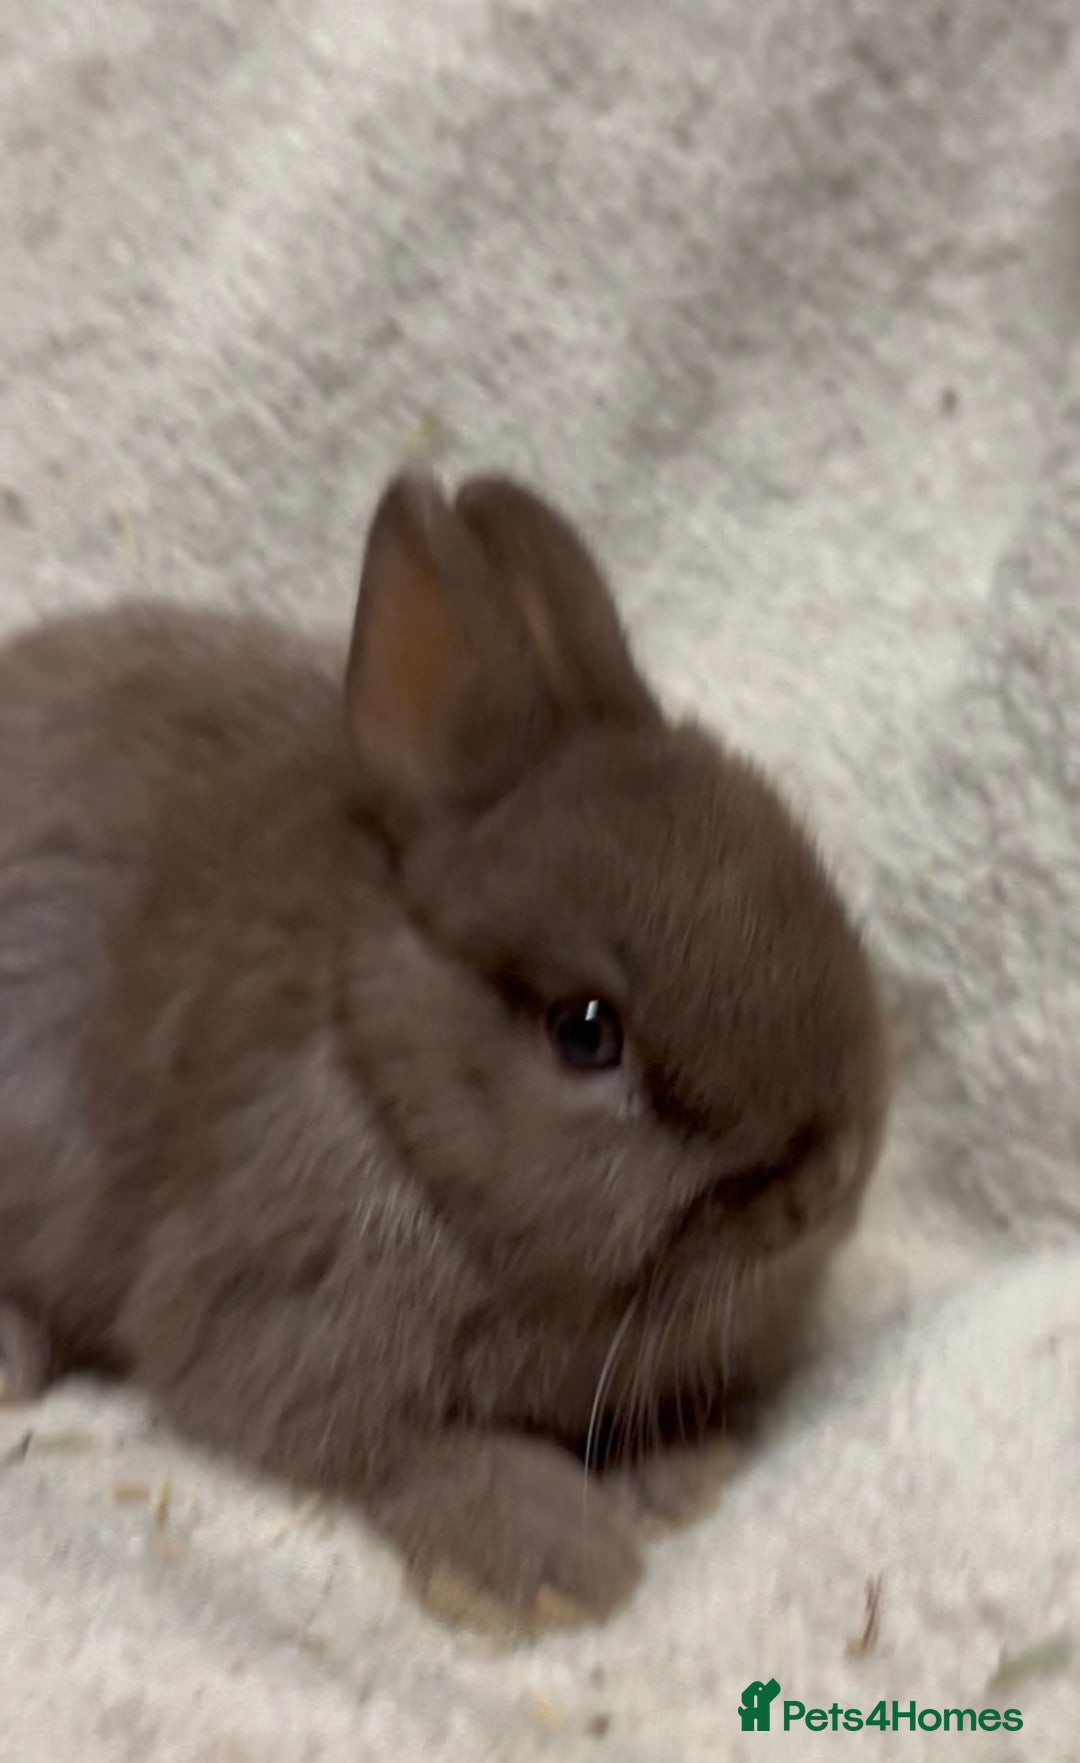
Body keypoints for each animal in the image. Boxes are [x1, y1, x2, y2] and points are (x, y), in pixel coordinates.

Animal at [0, 471, 891, 1628]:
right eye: (585, 1031)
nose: (821, 1182)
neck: (387, 1085)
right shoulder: (271, 1323)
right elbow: (402, 1448)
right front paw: (554, 1562)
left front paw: (677, 1475)